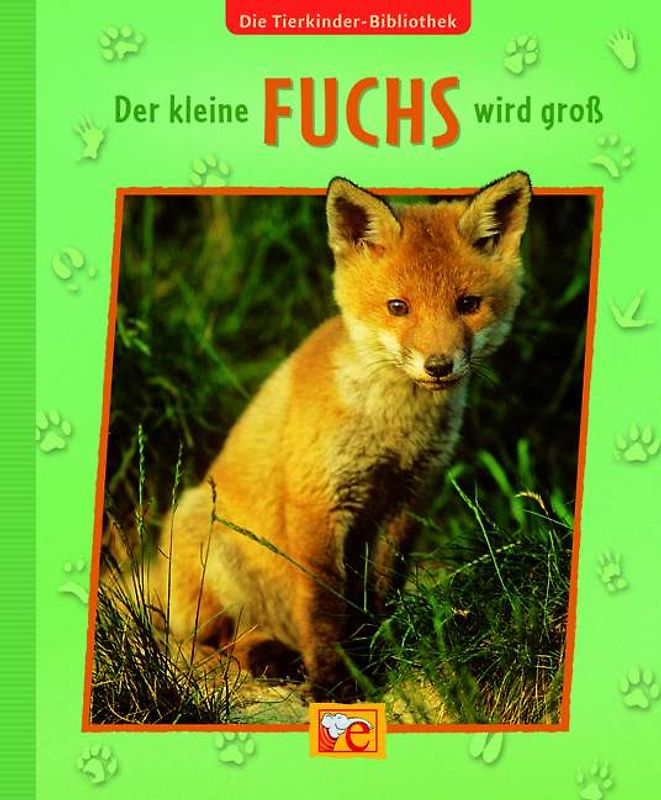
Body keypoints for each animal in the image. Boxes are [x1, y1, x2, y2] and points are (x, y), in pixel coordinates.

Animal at [149, 172, 532, 700]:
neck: (393, 433)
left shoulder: (403, 502)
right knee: (211, 640)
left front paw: (378, 657)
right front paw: (334, 684)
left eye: (468, 305)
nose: (438, 366)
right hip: (203, 536)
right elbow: (325, 608)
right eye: (398, 307)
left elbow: (380, 594)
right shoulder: (318, 505)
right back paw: (268, 655)